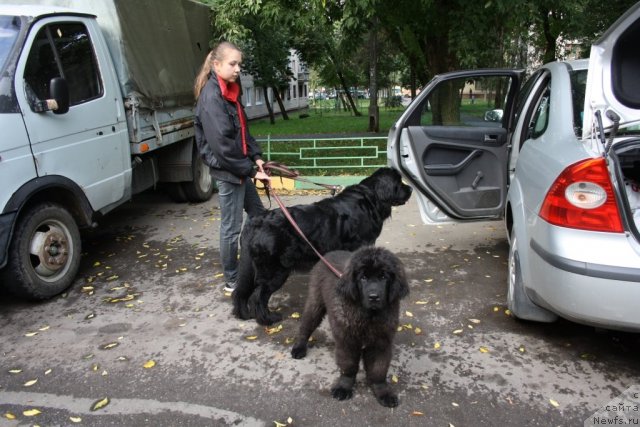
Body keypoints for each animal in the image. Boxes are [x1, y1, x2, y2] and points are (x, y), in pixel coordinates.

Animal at [232, 167, 412, 324]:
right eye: (399, 182)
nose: (410, 188)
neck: (371, 197)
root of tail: (258, 220)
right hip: (275, 270)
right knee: (258, 295)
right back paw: (267, 319)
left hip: (251, 266)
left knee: (241, 291)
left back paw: (244, 315)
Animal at [292, 247, 410, 408]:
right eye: (363, 278)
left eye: (384, 277)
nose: (374, 297)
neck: (369, 317)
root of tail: (329, 253)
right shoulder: (347, 342)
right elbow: (348, 366)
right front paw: (344, 387)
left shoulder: (381, 343)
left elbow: (378, 370)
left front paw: (383, 392)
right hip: (315, 302)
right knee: (306, 326)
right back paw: (299, 348)